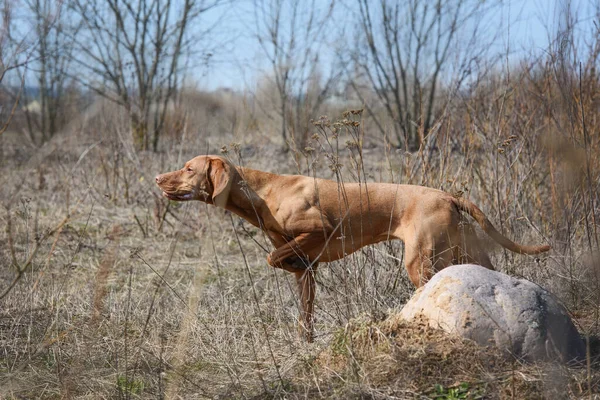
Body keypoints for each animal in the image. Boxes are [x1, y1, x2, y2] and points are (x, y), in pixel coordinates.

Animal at [157, 155, 552, 340]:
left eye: (189, 168)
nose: (158, 178)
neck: (264, 192)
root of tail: (448, 196)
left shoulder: (318, 231)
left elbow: (273, 257)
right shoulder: (308, 271)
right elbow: (305, 312)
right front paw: (305, 343)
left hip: (421, 262)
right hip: (465, 254)